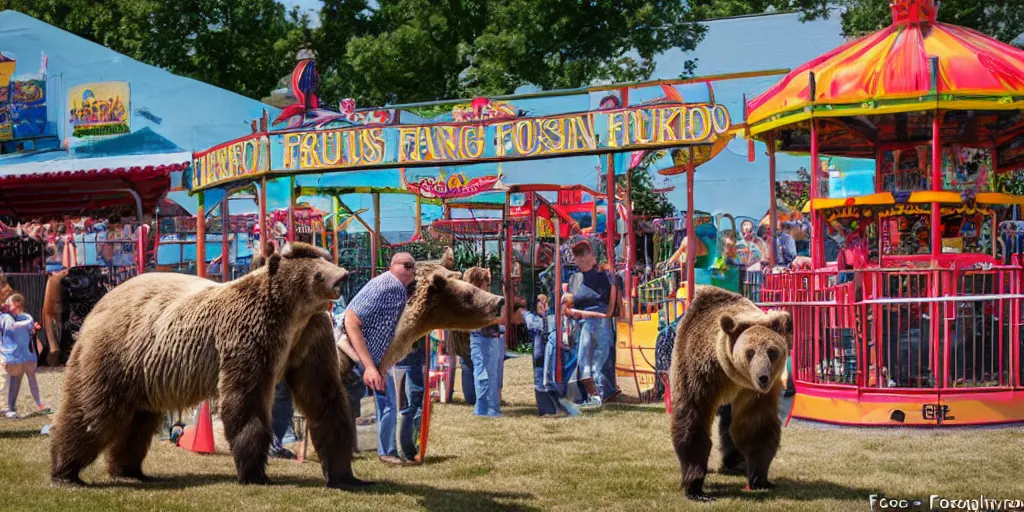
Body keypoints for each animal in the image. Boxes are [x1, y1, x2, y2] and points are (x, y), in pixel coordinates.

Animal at [49, 241, 368, 489]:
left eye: (326, 259)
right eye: (318, 272)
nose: (342, 276)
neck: (292, 315)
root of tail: (101, 302)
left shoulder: (310, 337)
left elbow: (325, 397)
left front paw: (345, 474)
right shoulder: (250, 335)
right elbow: (245, 400)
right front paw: (254, 473)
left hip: (144, 371)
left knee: (138, 420)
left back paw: (129, 470)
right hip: (114, 352)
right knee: (92, 411)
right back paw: (66, 472)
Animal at [667, 286, 794, 501]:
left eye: (772, 351)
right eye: (750, 352)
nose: (763, 377)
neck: (731, 375)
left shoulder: (754, 392)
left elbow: (755, 427)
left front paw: (759, 478)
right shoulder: (701, 374)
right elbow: (693, 419)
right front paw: (696, 487)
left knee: (729, 424)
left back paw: (736, 463)